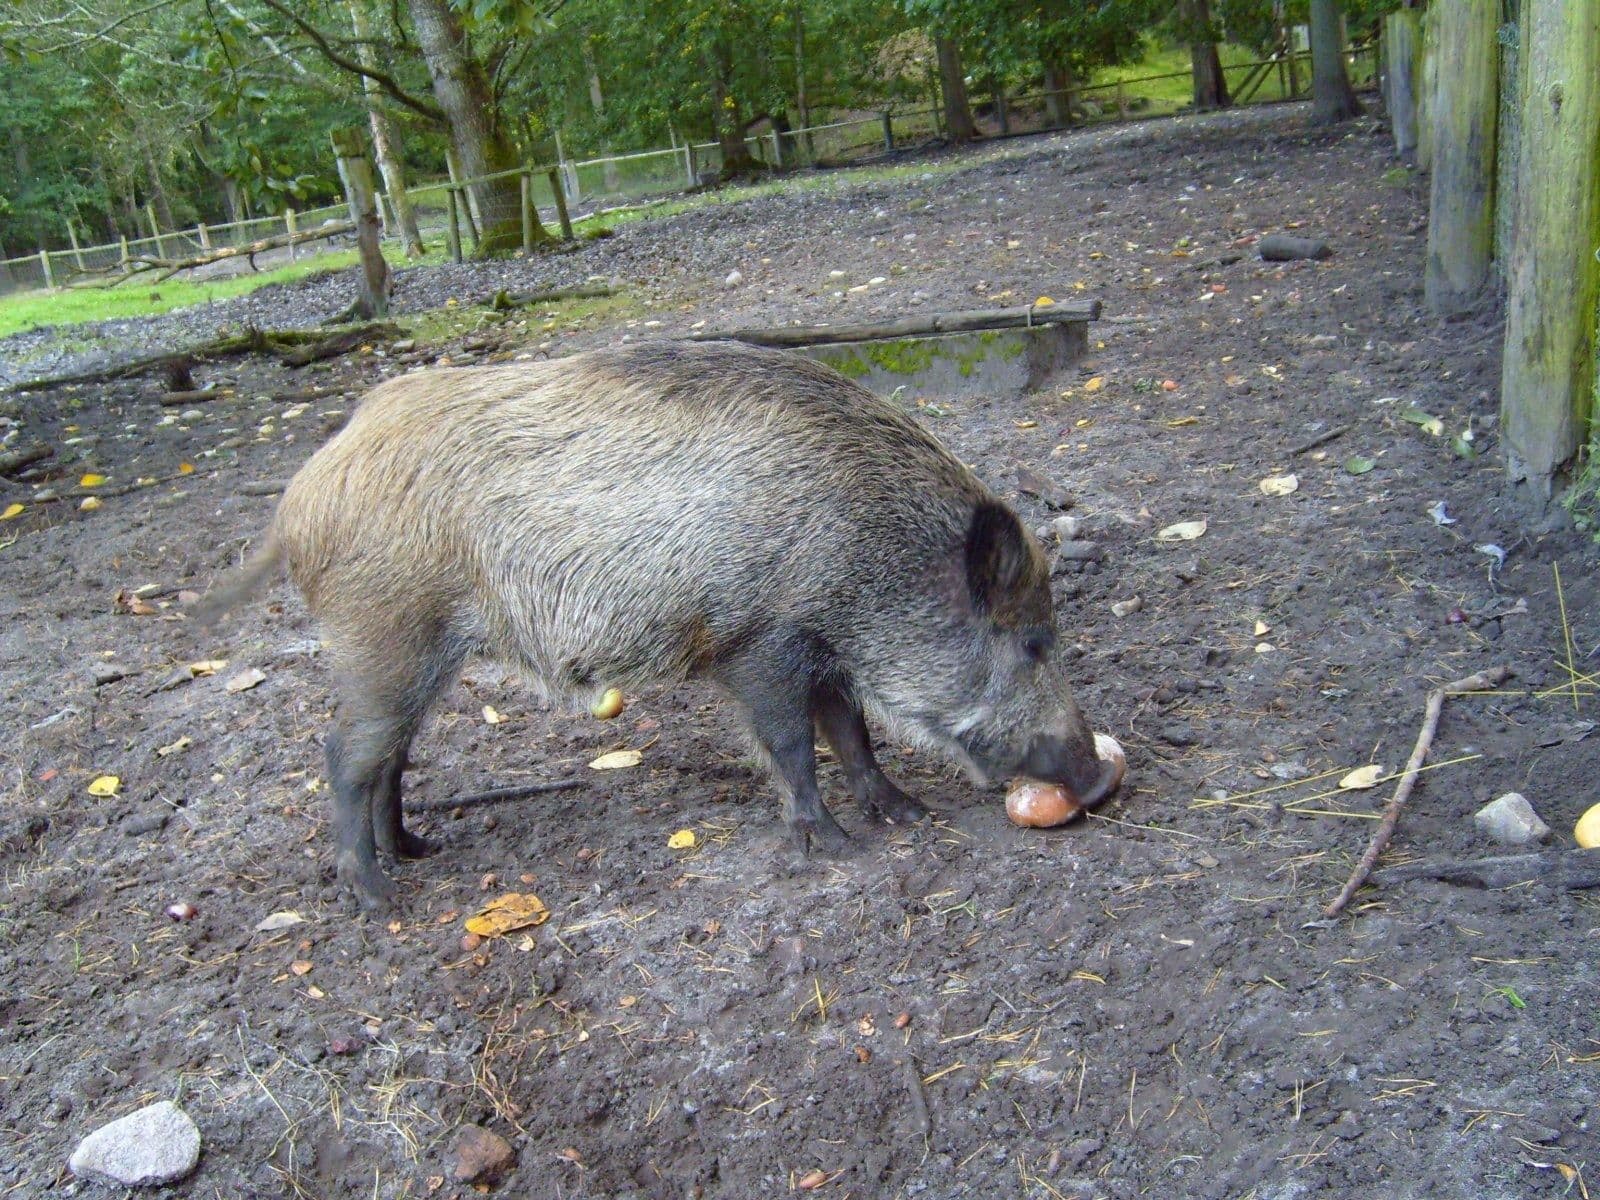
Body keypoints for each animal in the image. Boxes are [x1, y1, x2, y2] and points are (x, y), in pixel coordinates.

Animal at [200, 340, 1118, 908]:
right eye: (1032, 641)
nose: (1100, 779)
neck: (864, 544)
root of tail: (299, 497)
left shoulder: (820, 647)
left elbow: (853, 734)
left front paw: (907, 816)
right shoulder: (760, 643)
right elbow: (794, 746)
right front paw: (836, 848)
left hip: (414, 654)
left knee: (389, 755)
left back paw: (416, 852)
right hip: (383, 634)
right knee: (344, 755)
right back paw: (378, 897)